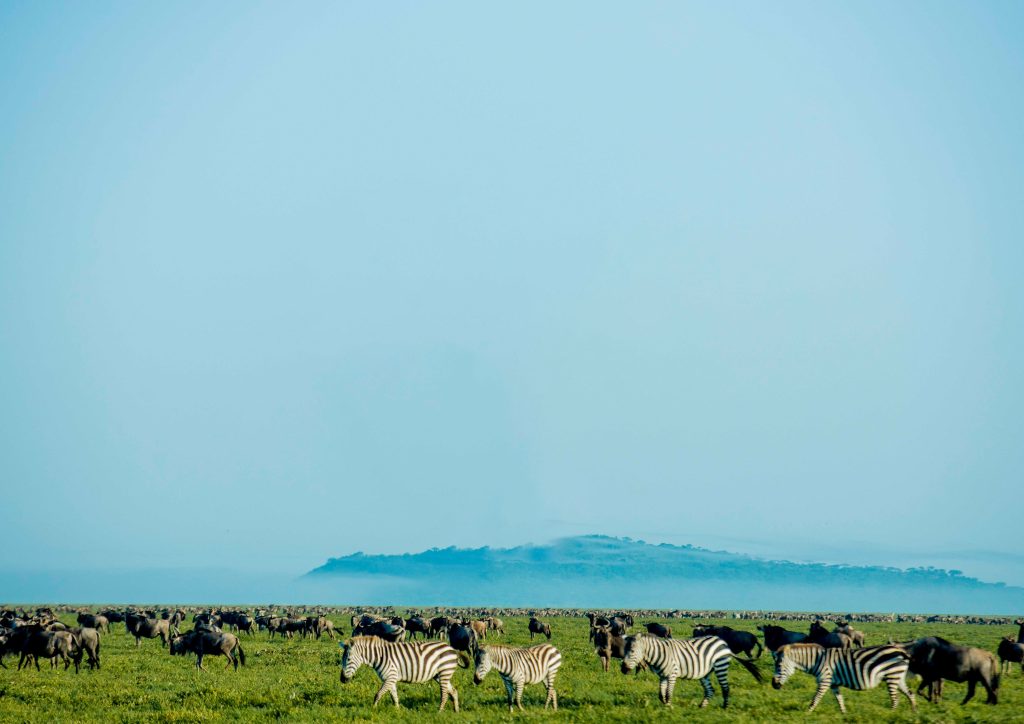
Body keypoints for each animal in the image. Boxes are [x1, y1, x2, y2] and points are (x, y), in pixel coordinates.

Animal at [337, 639, 466, 712]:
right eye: (341, 659)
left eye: (348, 659)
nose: (342, 679)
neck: (379, 656)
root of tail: (452, 649)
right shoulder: (390, 679)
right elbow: (394, 697)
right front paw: (397, 712)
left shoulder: (390, 677)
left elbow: (378, 694)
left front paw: (373, 709)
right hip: (440, 675)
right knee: (453, 691)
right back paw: (456, 711)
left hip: (444, 672)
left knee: (444, 694)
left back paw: (439, 711)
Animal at [618, 634, 765, 708]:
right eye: (624, 649)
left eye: (632, 651)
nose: (623, 669)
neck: (659, 654)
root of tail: (723, 643)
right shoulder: (663, 675)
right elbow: (661, 694)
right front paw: (665, 705)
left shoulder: (672, 674)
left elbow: (668, 693)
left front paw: (668, 707)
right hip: (705, 673)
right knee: (710, 690)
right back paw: (702, 706)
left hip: (720, 666)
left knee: (725, 688)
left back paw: (725, 706)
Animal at [770, 647, 917, 712]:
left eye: (779, 666)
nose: (773, 685)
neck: (817, 661)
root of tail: (903, 652)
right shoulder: (833, 684)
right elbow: (839, 699)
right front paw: (844, 714)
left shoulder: (825, 680)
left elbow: (815, 699)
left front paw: (807, 713)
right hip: (898, 677)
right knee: (910, 693)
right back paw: (914, 713)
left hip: (892, 676)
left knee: (895, 699)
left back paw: (890, 714)